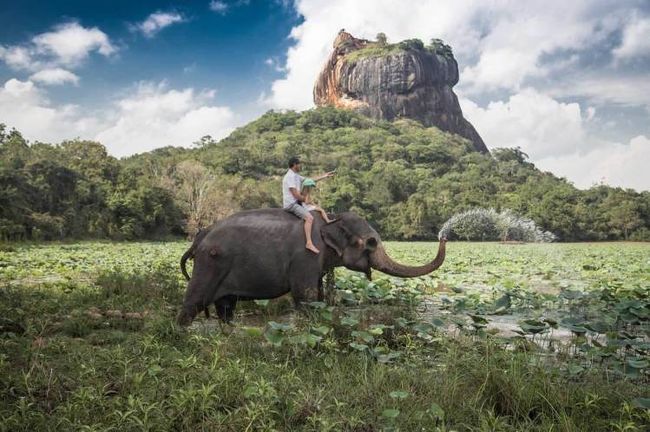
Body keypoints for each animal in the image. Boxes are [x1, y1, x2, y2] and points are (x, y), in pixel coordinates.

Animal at [175, 208, 442, 326]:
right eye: (371, 242)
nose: (443, 236)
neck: (330, 220)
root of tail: (199, 237)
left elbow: (318, 296)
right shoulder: (305, 257)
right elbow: (306, 296)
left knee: (225, 308)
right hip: (209, 264)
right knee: (193, 303)